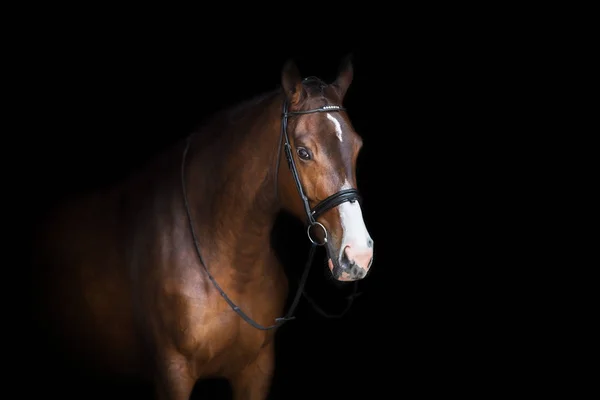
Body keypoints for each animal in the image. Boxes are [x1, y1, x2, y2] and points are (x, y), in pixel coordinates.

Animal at [32, 57, 376, 400]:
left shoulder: (256, 372)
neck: (226, 254)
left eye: (358, 148)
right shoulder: (173, 374)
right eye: (304, 152)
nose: (358, 255)